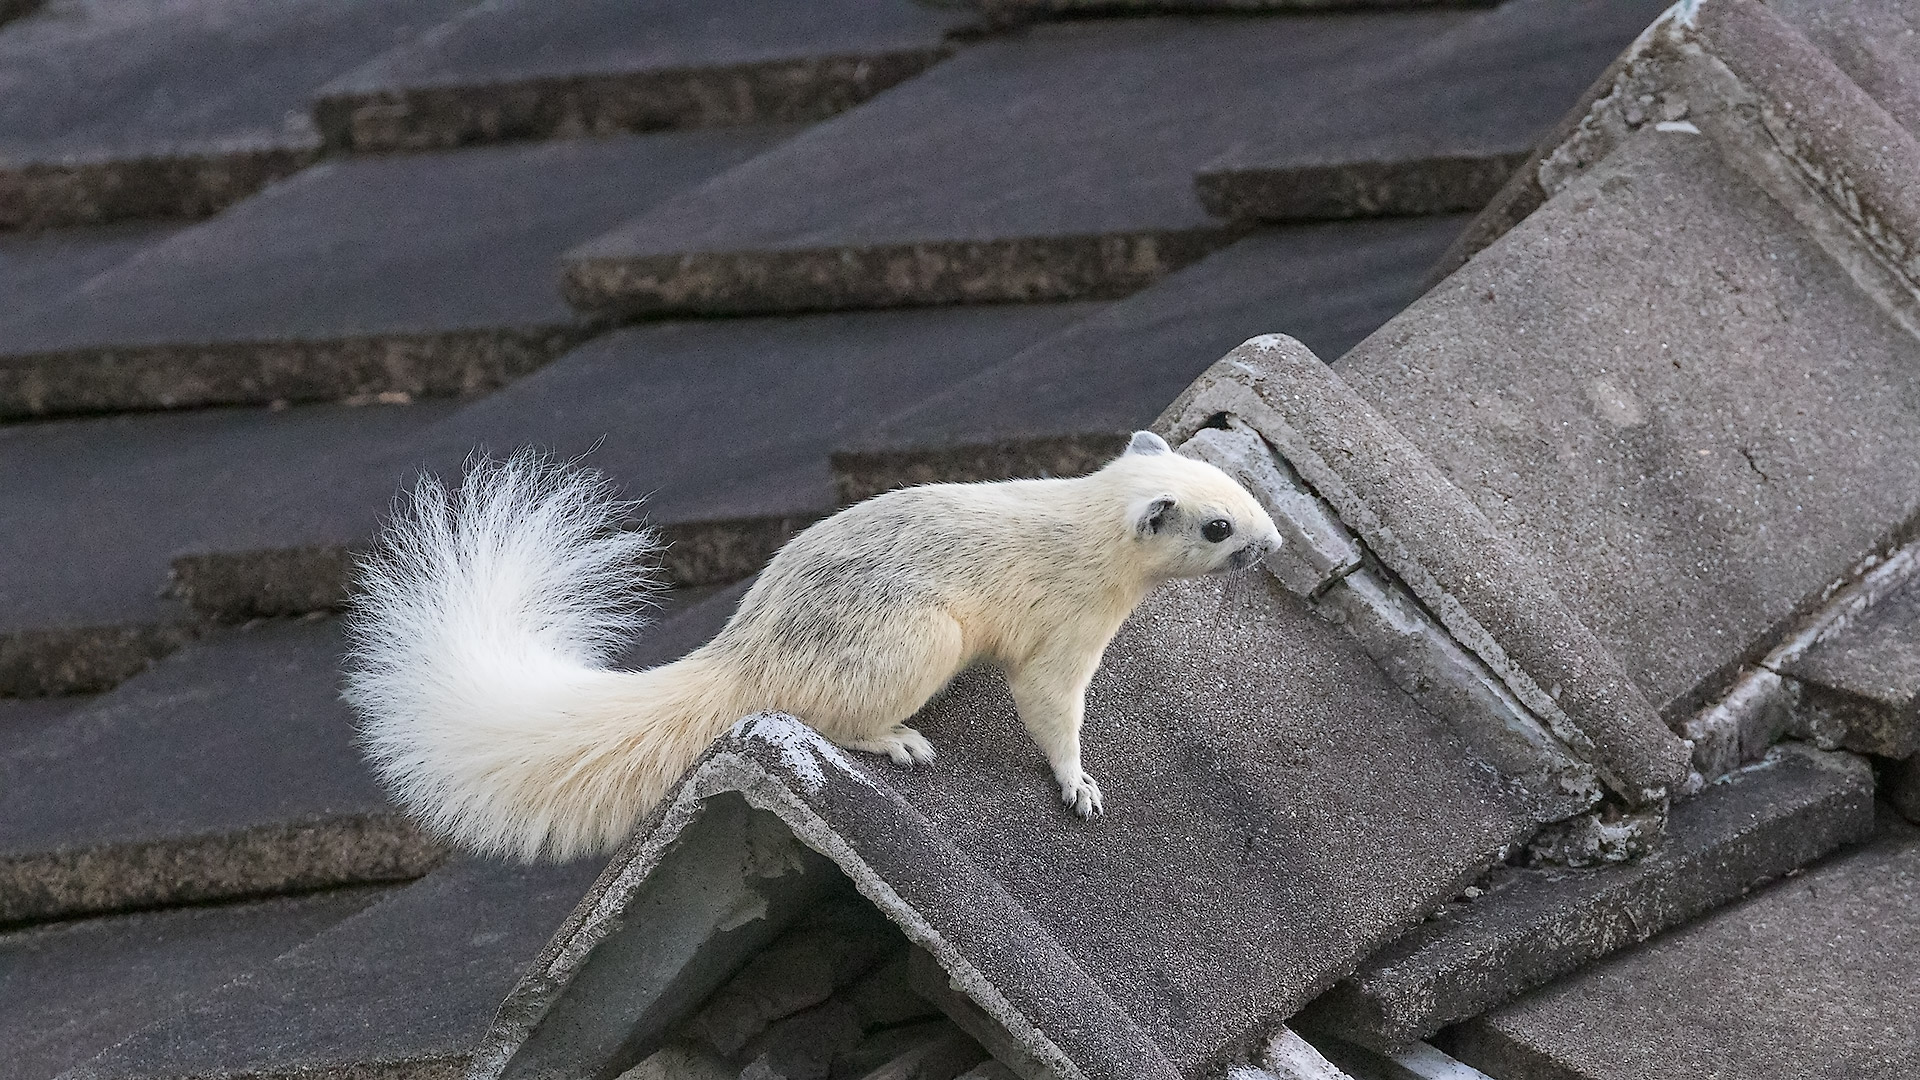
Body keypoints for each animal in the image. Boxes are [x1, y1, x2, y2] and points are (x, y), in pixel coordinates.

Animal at [345, 428, 1282, 857]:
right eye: (1217, 524)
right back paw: (900, 742)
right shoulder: (1065, 635)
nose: (1272, 541)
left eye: (1230, 484)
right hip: (918, 641)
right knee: (828, 718)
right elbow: (1052, 713)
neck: (1091, 531)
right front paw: (1078, 786)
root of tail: (746, 654)